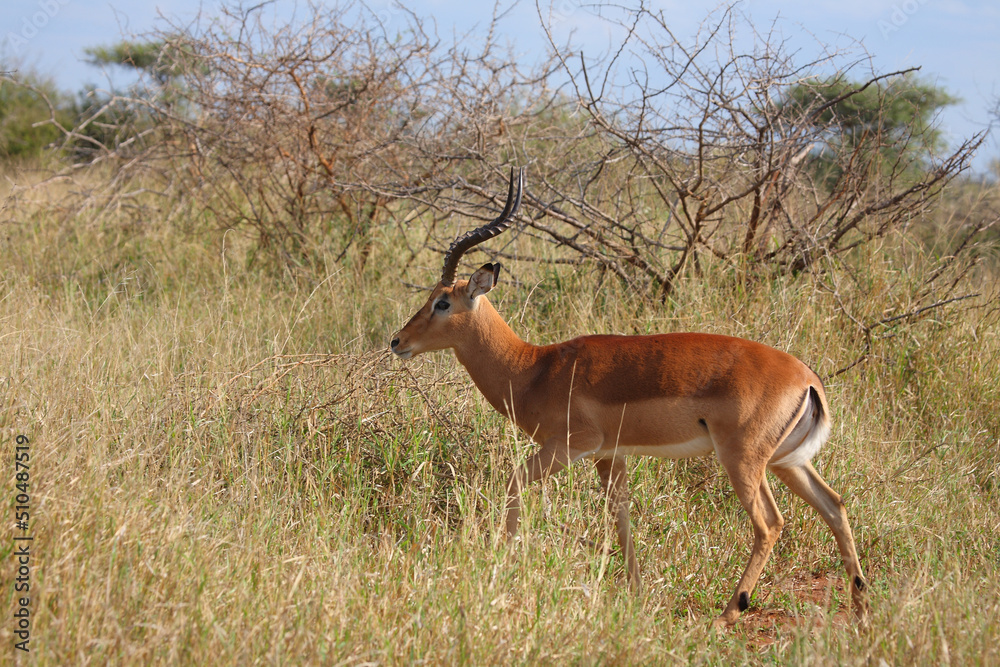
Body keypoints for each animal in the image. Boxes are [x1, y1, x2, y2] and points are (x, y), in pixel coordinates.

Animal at [390, 168, 869, 627]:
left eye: (443, 302)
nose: (398, 341)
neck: (534, 368)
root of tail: (807, 379)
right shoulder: (610, 456)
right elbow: (622, 519)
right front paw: (636, 593)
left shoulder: (570, 446)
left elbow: (513, 484)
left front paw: (501, 563)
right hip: (787, 461)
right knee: (835, 505)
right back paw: (862, 610)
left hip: (744, 459)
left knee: (770, 524)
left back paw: (728, 614)